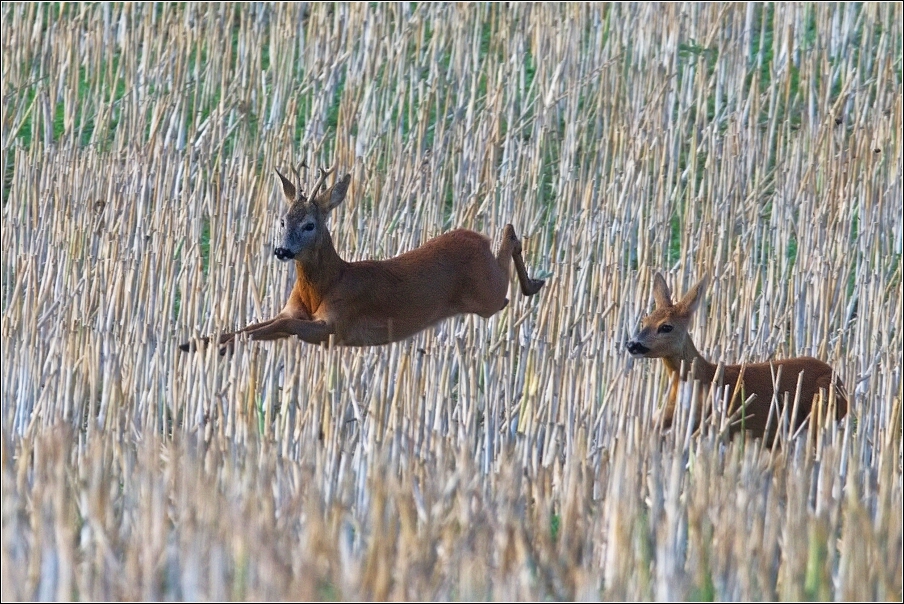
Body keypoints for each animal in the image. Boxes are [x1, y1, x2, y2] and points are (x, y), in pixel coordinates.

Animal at [177, 165, 544, 354]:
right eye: (282, 221)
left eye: (309, 224)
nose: (282, 251)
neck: (326, 284)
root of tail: (477, 239)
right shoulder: (292, 311)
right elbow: (254, 326)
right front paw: (195, 343)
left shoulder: (336, 326)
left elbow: (278, 327)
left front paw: (209, 345)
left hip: (487, 294)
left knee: (508, 249)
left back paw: (534, 282)